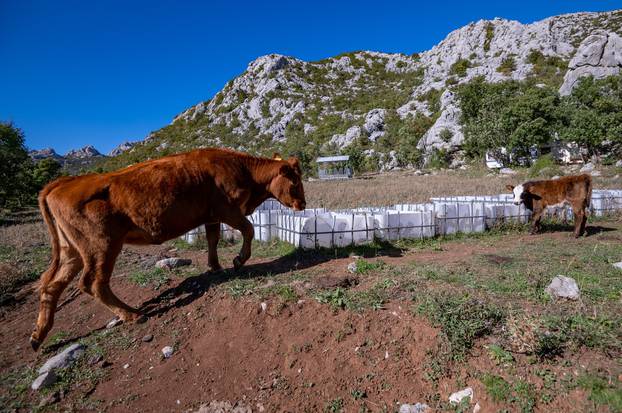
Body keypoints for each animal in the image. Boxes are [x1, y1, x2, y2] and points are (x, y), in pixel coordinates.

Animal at [30, 148, 308, 348]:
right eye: (295, 182)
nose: (303, 204)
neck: (242, 170)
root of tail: (63, 182)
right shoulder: (228, 210)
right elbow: (248, 230)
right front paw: (238, 260)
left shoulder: (211, 216)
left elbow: (213, 239)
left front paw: (215, 267)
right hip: (101, 246)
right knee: (92, 283)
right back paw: (131, 315)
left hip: (72, 251)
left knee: (52, 285)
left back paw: (38, 335)